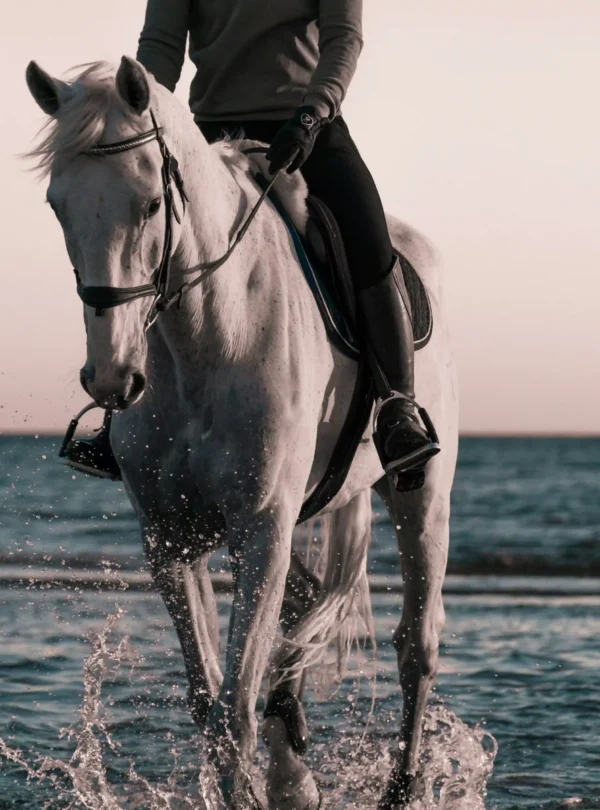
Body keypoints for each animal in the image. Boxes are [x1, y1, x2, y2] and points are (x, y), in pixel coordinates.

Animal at [25, 56, 458, 810]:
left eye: (150, 203)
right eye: (58, 206)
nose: (112, 378)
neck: (207, 335)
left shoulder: (260, 528)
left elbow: (233, 707)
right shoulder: (170, 539)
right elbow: (209, 702)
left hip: (422, 494)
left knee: (416, 646)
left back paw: (398, 788)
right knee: (306, 613)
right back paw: (295, 774)